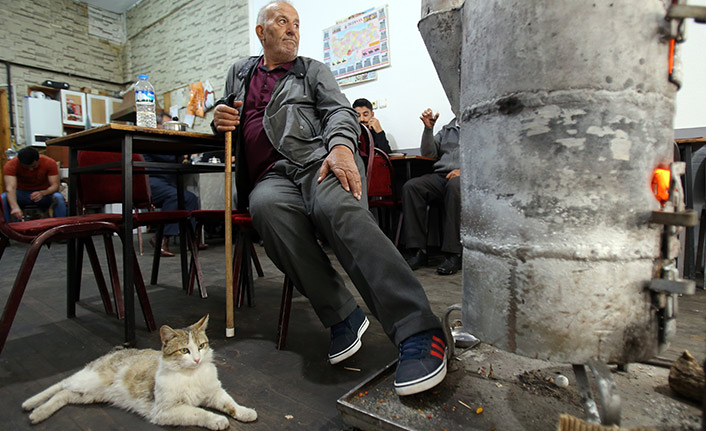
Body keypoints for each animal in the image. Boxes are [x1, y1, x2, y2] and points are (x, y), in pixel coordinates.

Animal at [22, 316, 258, 430]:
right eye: (184, 350)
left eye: (201, 346)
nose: (197, 359)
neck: (191, 375)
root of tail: (117, 351)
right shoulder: (166, 411)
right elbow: (198, 413)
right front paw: (217, 420)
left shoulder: (214, 393)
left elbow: (230, 403)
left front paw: (245, 412)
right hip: (89, 380)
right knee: (62, 384)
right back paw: (32, 406)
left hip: (90, 395)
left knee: (64, 395)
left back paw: (38, 412)